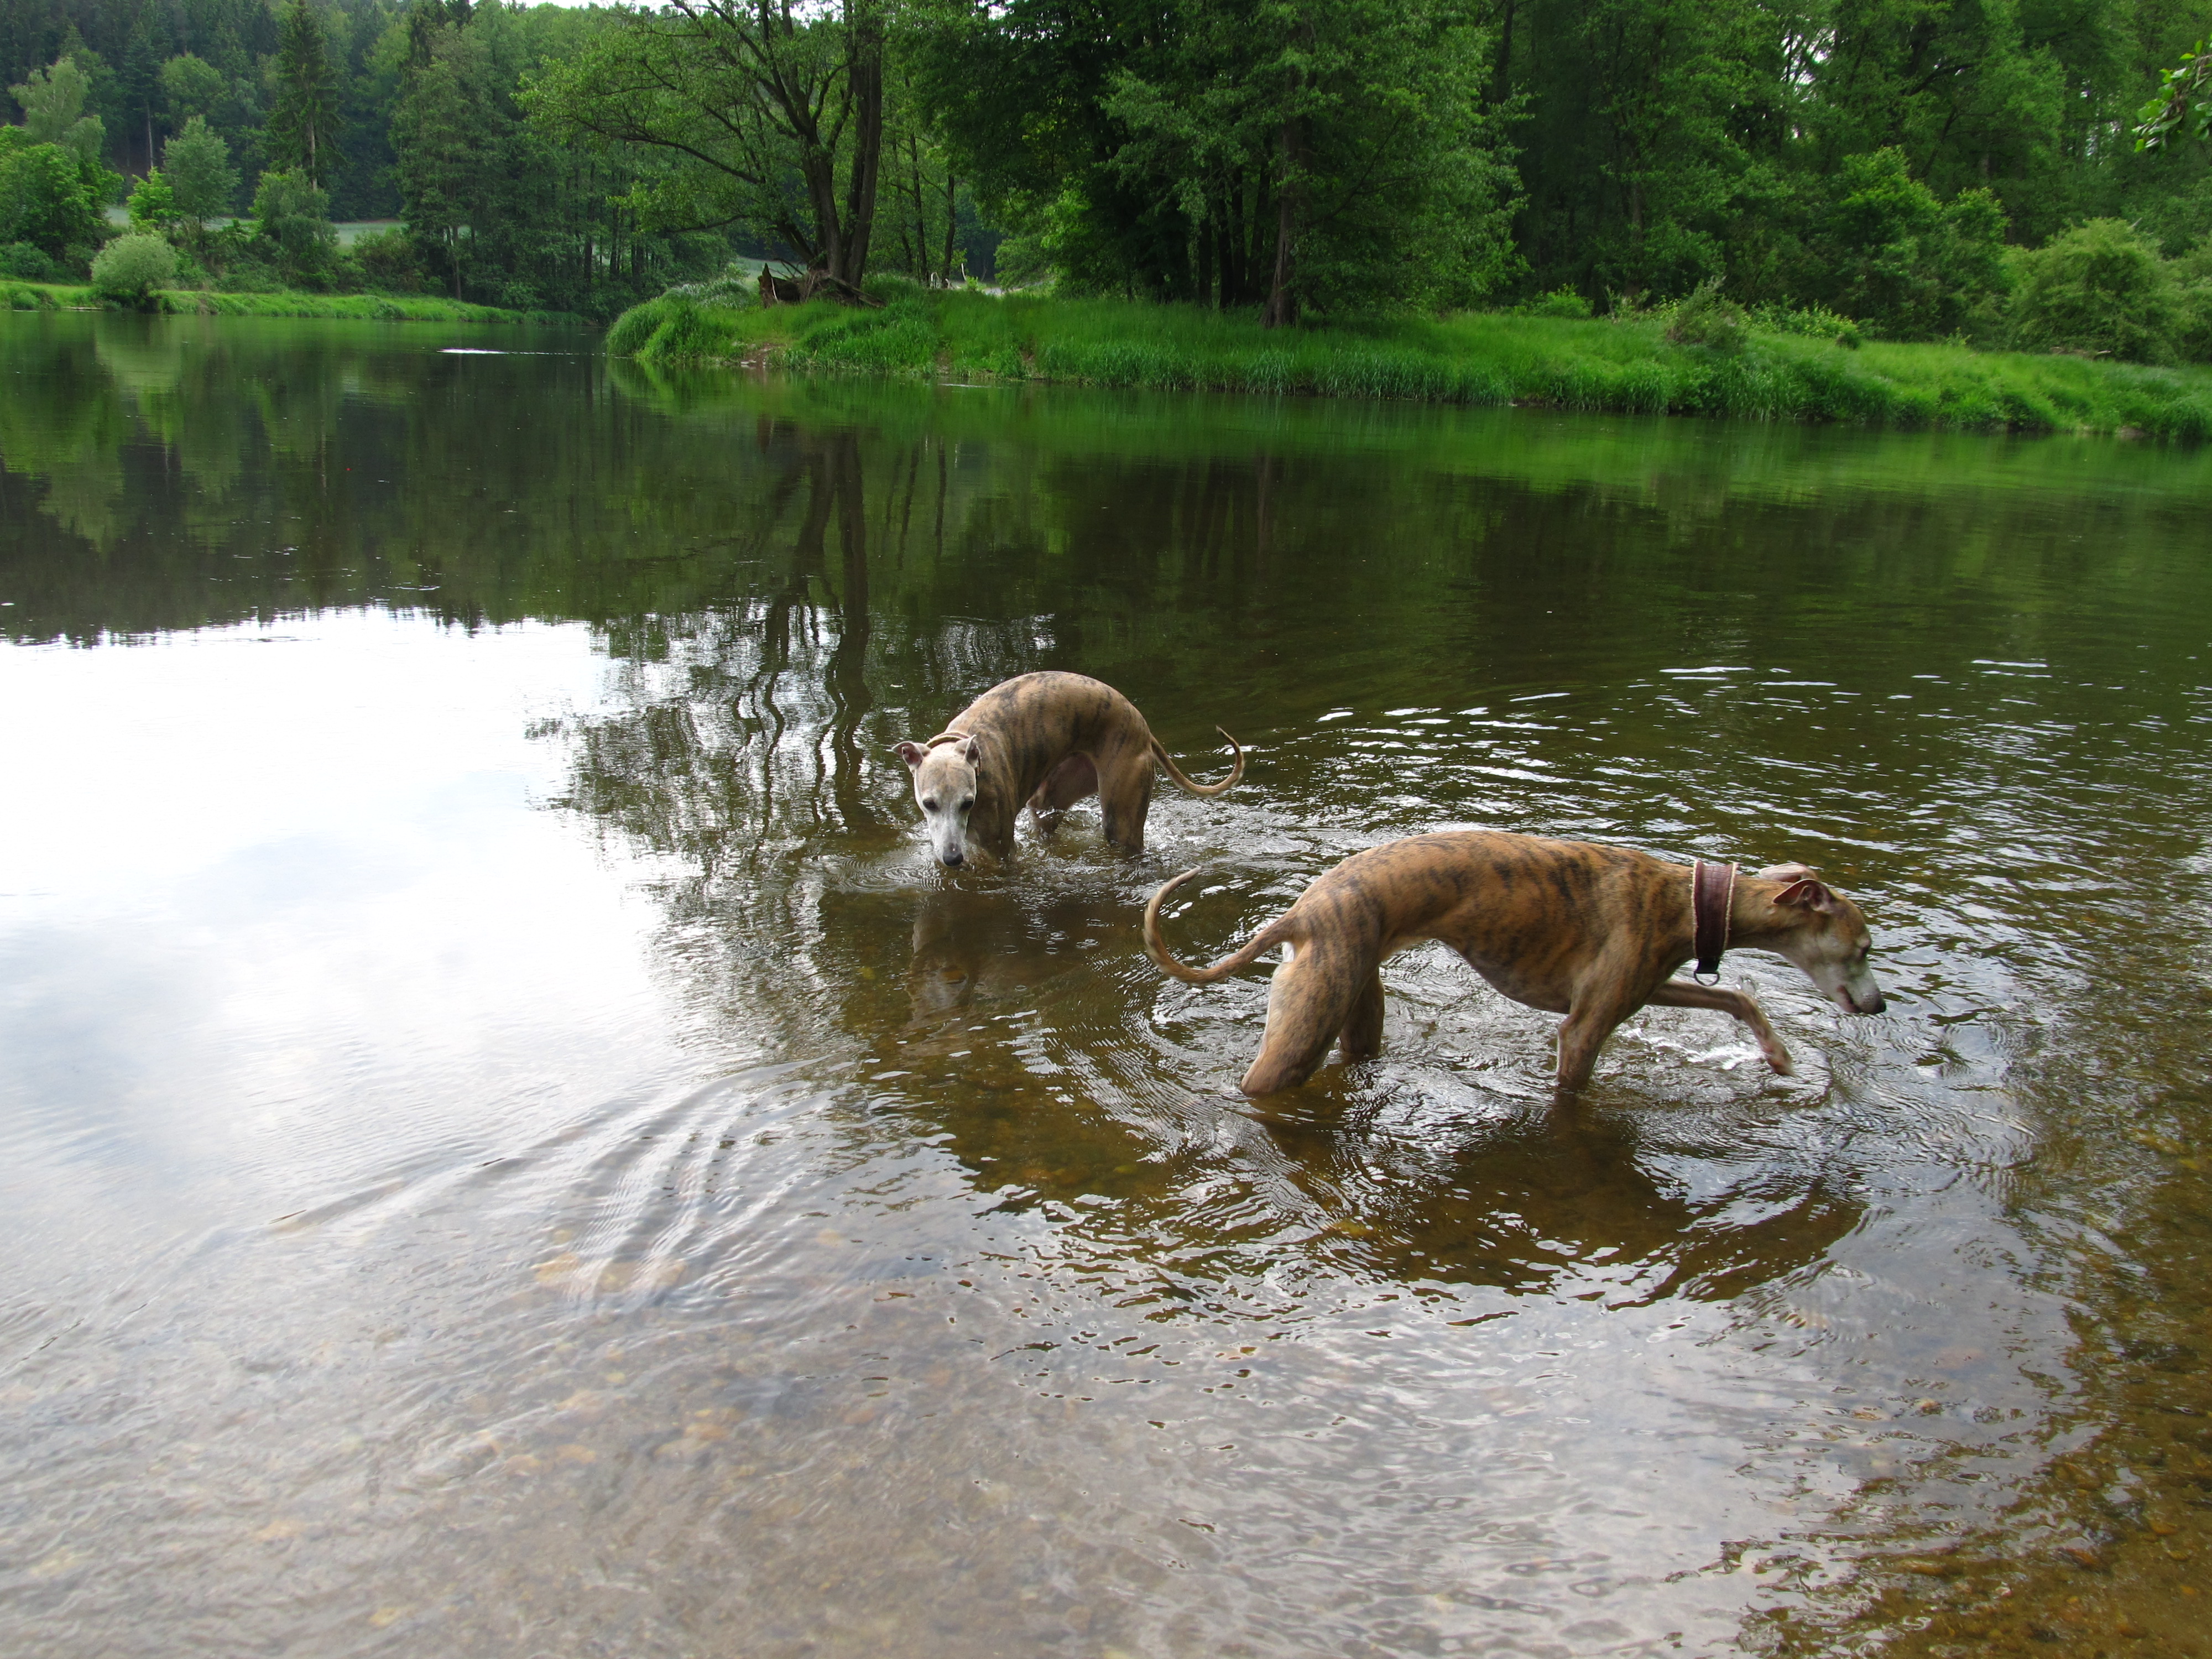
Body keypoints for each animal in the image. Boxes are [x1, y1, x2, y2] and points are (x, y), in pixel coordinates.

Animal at [894, 668, 1248, 872]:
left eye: (967, 802)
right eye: (929, 804)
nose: (953, 859)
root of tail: (1142, 726)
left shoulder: (1003, 851)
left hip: (1121, 812)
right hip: (1056, 793)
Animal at [1141, 836, 1885, 1097]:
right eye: (1864, 948)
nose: (1878, 1007)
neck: (1685, 901)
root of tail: (1301, 914)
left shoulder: (1645, 985)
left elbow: (1738, 998)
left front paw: (1779, 1056)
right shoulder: (1583, 1029)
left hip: (1357, 1008)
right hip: (1306, 1027)